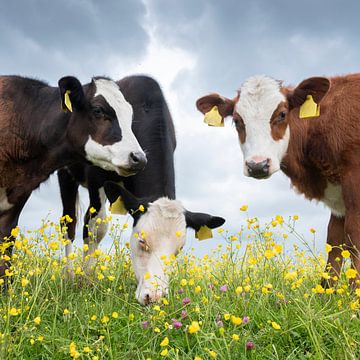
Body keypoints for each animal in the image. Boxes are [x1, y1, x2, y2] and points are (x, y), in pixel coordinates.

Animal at [57, 76, 224, 304]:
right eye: (142, 241)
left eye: (179, 249)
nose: (154, 296)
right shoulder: (96, 178)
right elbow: (95, 227)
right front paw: (86, 282)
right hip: (66, 176)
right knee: (69, 224)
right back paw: (68, 275)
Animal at [197, 74, 360, 286]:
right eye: (237, 120)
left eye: (282, 114)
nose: (257, 165)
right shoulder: (338, 197)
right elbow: (334, 241)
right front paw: (329, 292)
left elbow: (354, 236)